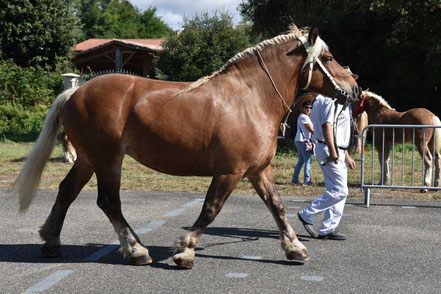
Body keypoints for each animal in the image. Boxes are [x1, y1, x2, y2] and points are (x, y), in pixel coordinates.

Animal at [15, 26, 358, 268]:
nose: (354, 87)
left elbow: (277, 206)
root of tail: (75, 93)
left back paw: (51, 242)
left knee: (67, 191)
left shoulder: (258, 170)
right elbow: (210, 209)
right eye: (328, 58)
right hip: (107, 159)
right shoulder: (230, 172)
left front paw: (295, 248)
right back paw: (136, 250)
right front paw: (185, 251)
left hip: (88, 159)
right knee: (108, 202)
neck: (250, 99)